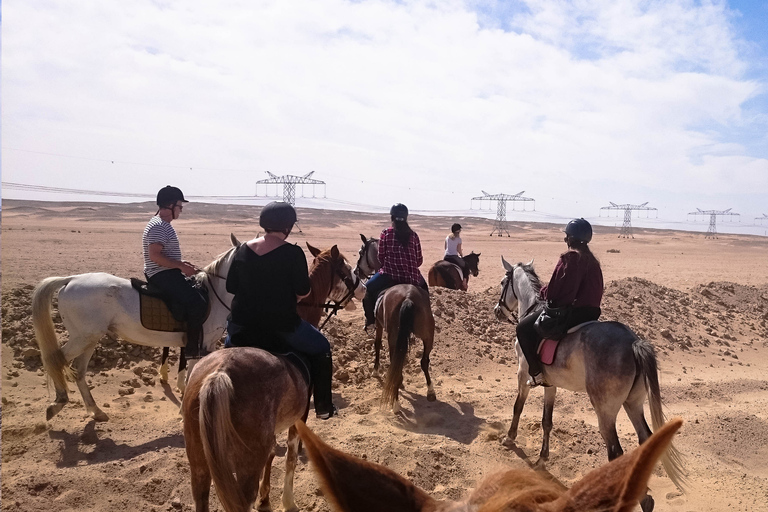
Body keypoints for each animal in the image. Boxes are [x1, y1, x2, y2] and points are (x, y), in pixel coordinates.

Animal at [32, 234, 240, 422]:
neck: (213, 295)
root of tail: (71, 279)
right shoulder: (201, 344)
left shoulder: (197, 344)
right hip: (82, 338)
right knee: (55, 360)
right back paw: (59, 402)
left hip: (89, 339)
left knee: (78, 370)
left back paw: (96, 411)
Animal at [184, 242, 364, 510]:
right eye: (346, 269)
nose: (363, 287)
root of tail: (219, 375)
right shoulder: (299, 417)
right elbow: (290, 457)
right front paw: (288, 501)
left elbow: (271, 454)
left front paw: (265, 499)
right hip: (245, 465)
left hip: (198, 461)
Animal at [374, 282, 436, 410]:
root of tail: (408, 297)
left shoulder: (378, 323)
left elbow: (377, 344)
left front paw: (375, 370)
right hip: (428, 335)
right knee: (424, 361)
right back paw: (431, 392)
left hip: (393, 337)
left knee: (394, 366)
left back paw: (395, 403)